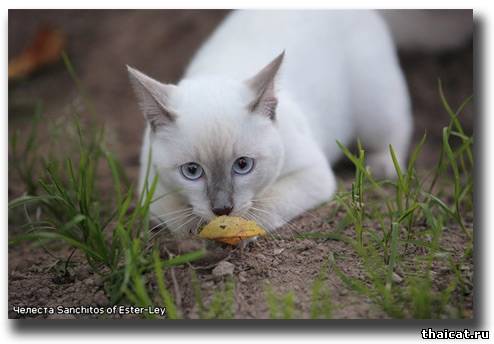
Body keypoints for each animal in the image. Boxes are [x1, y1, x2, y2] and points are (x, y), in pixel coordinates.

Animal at [128, 11, 412, 236]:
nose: (222, 209)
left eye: (243, 165)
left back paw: (383, 167)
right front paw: (197, 234)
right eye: (191, 171)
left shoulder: (312, 173)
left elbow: (265, 205)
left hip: (374, 109)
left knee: (396, 130)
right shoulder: (151, 187)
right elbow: (177, 217)